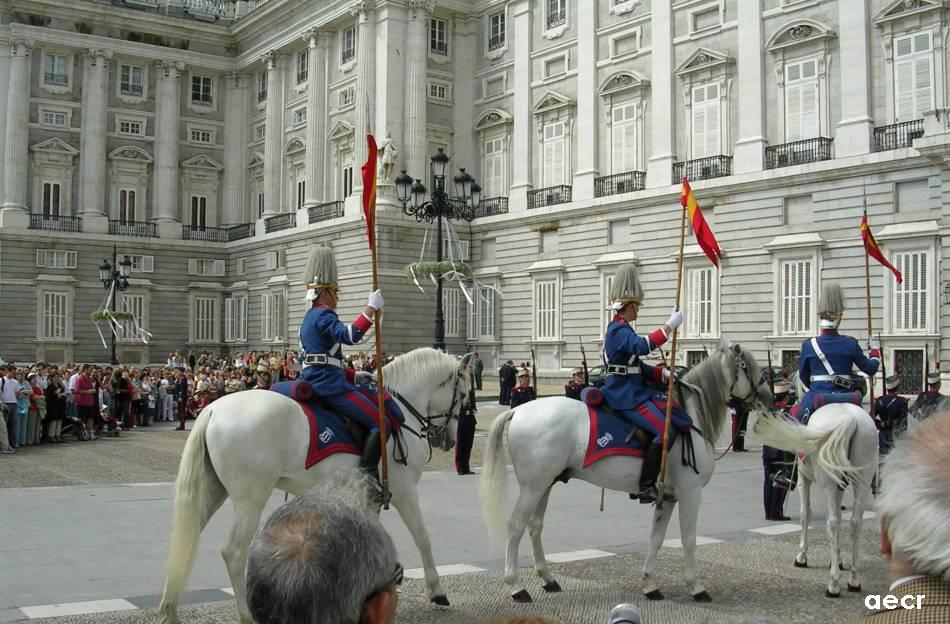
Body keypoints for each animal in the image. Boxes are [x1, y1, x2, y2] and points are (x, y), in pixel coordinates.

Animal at [162, 348, 476, 620]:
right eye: (462, 395)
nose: (447, 440)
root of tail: (212, 409)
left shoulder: (368, 497)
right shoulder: (404, 491)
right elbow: (423, 537)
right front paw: (437, 592)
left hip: (214, 492)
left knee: (185, 540)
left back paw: (169, 609)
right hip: (250, 498)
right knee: (234, 553)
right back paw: (247, 615)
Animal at [480, 338, 768, 604]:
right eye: (746, 366)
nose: (769, 396)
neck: (691, 417)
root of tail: (517, 410)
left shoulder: (669, 496)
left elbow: (657, 538)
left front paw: (650, 584)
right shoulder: (690, 492)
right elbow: (688, 539)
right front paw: (696, 587)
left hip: (546, 484)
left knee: (535, 526)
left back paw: (548, 579)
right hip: (532, 486)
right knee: (516, 526)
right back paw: (516, 586)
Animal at [756, 388, 880, 596]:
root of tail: (850, 419)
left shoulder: (803, 479)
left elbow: (806, 514)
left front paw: (802, 557)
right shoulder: (840, 485)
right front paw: (837, 558)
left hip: (826, 483)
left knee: (833, 522)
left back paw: (833, 584)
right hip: (862, 480)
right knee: (855, 522)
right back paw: (854, 580)